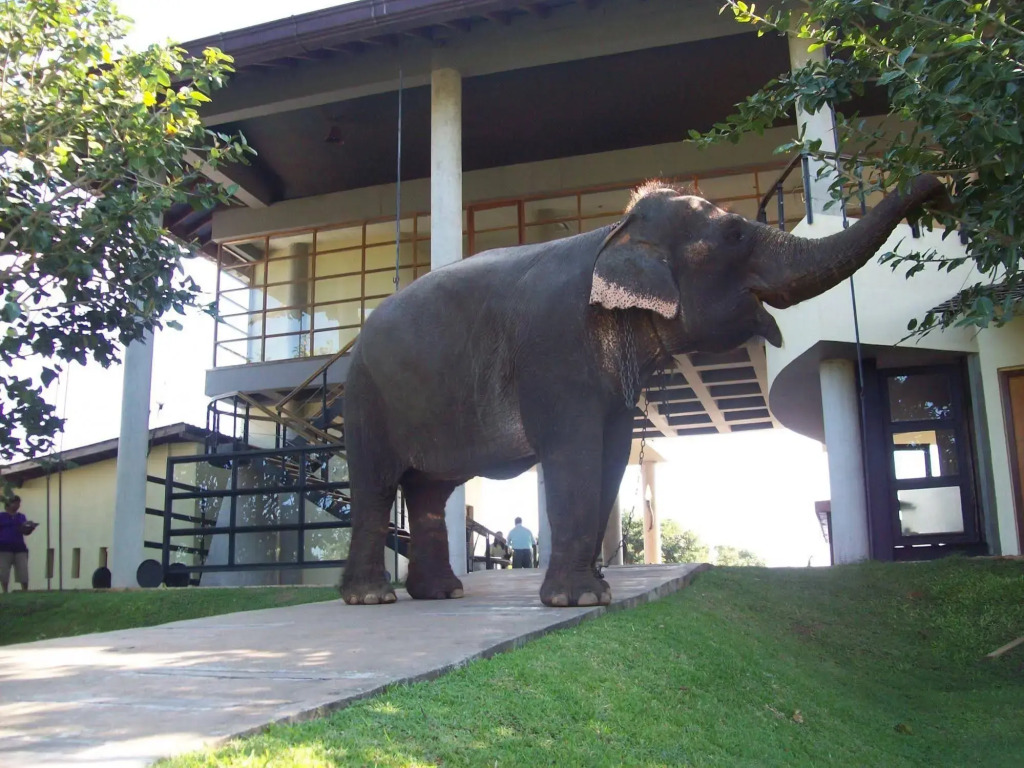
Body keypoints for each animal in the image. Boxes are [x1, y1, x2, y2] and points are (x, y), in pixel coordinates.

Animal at [340, 174, 946, 607]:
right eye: (735, 235)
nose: (938, 185)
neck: (615, 231)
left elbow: (610, 454)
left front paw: (596, 593)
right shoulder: (555, 351)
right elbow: (575, 452)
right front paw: (577, 600)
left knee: (428, 491)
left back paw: (441, 593)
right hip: (365, 395)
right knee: (377, 485)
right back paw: (371, 598)